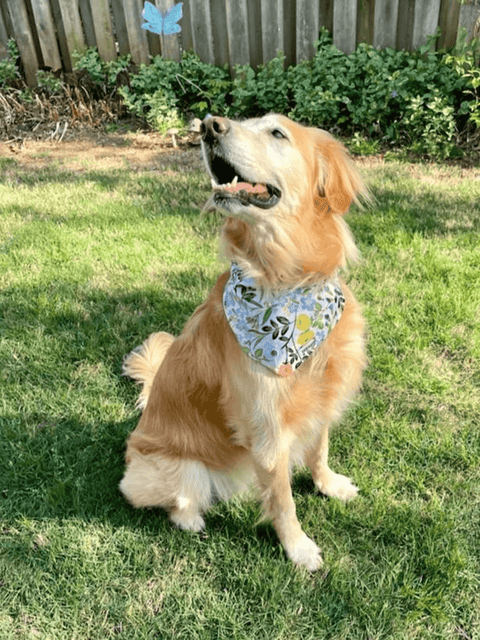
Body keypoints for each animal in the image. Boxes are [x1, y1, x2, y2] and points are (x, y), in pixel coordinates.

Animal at [120, 115, 368, 568]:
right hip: (175, 470)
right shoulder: (267, 428)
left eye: (276, 132)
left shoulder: (323, 399)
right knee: (173, 498)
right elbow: (283, 499)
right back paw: (190, 519)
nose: (208, 126)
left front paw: (329, 484)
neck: (287, 284)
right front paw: (298, 547)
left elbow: (319, 449)